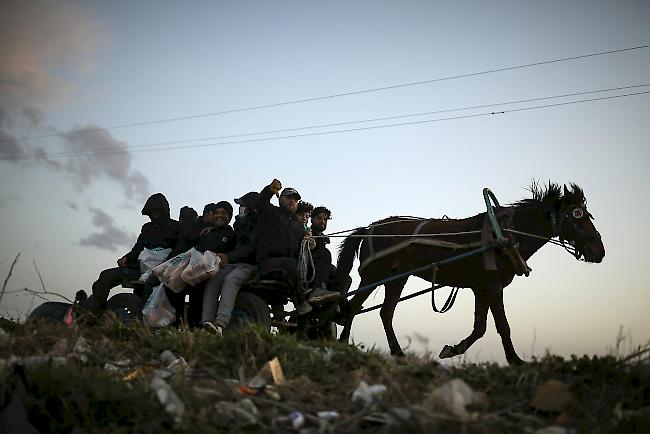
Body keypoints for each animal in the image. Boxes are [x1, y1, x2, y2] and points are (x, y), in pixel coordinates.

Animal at [334, 181, 604, 364]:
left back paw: (398, 353)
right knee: (354, 307)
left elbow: (480, 327)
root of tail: (370, 227)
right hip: (373, 276)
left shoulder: (481, 288)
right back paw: (343, 343)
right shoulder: (492, 286)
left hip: (396, 278)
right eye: (577, 218)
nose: (599, 251)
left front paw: (453, 349)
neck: (504, 234)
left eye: (588, 216)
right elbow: (503, 326)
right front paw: (516, 361)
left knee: (385, 312)